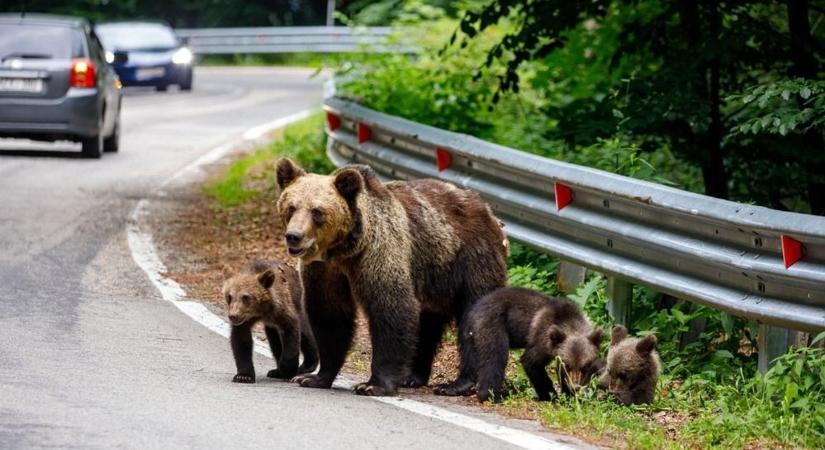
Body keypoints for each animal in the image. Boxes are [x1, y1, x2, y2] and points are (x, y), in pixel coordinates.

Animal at [274, 159, 506, 398]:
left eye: (317, 211)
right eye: (291, 207)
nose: (294, 236)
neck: (344, 250)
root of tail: (489, 211)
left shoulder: (379, 251)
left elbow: (390, 308)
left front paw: (373, 384)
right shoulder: (324, 269)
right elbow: (329, 314)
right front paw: (313, 377)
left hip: (472, 260)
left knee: (473, 317)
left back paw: (458, 384)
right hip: (433, 280)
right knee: (427, 325)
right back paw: (412, 377)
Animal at [434, 288, 600, 400]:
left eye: (585, 366)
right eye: (569, 365)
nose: (575, 386)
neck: (570, 322)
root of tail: (475, 308)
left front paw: (570, 396)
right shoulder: (542, 339)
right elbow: (531, 362)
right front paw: (551, 395)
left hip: (469, 332)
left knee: (470, 357)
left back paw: (452, 387)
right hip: (493, 325)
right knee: (494, 359)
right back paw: (492, 395)